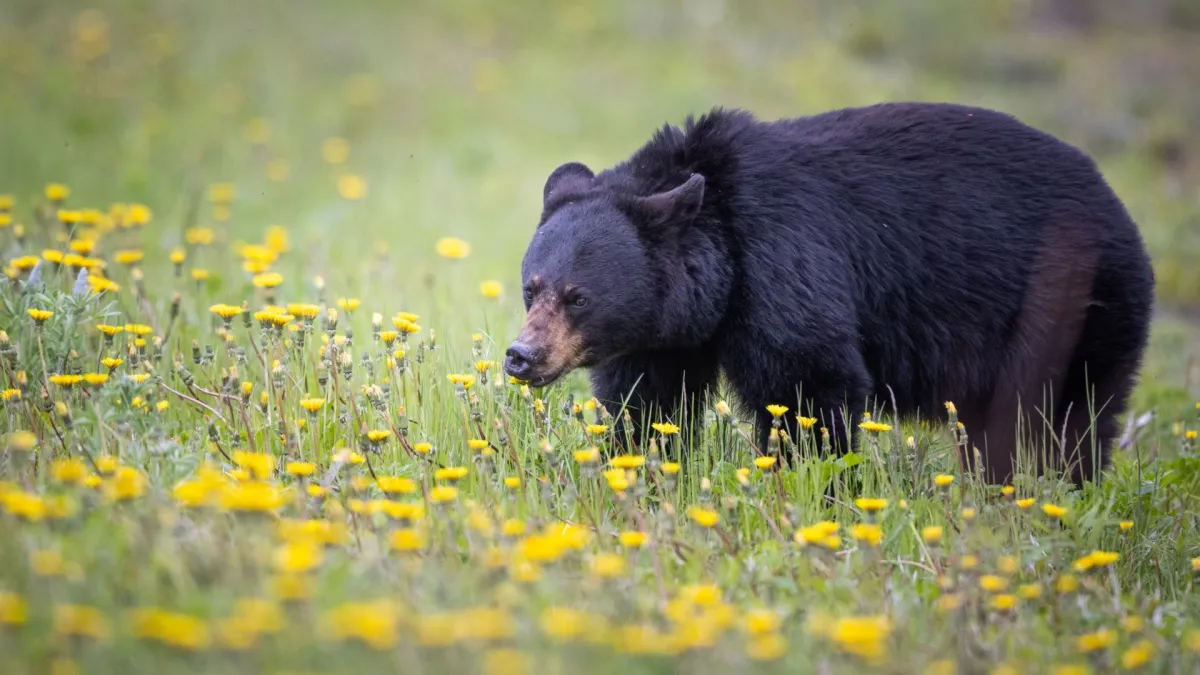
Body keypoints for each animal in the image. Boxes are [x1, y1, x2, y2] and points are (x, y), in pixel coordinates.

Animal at [504, 100, 1152, 482]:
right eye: (532, 288)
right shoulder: (665, 332)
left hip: (1070, 305)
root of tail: (1120, 210)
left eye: (578, 296)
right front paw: (640, 470)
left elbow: (808, 383)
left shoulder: (784, 262)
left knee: (1057, 419)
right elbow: (648, 402)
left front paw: (810, 485)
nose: (521, 356)